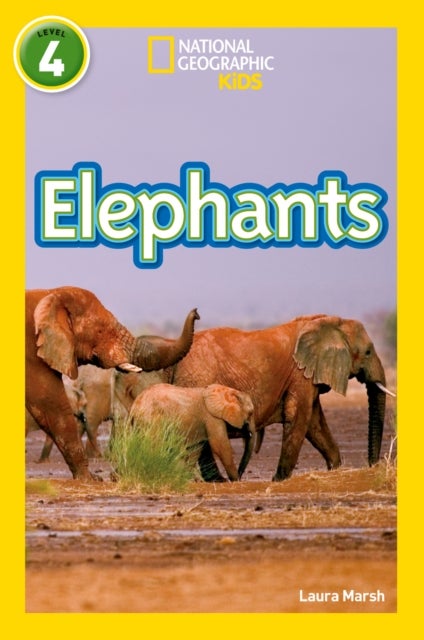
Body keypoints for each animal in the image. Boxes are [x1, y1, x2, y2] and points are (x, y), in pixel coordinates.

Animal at [25, 286, 200, 479]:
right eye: (101, 331)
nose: (196, 313)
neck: (49, 294)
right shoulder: (32, 354)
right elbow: (50, 403)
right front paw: (91, 479)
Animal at [164, 314, 395, 481]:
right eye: (367, 352)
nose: (373, 466)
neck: (329, 321)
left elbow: (315, 423)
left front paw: (335, 469)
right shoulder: (300, 375)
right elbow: (300, 418)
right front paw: (279, 480)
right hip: (197, 380)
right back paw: (220, 481)